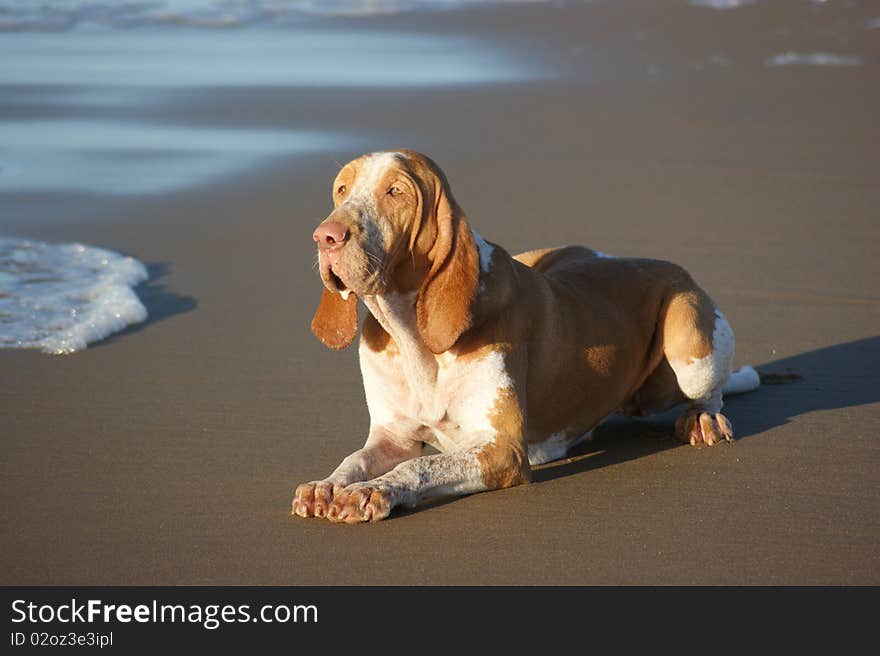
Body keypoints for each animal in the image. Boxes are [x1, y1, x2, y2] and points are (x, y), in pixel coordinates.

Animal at [292, 150, 760, 524]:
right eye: (341, 190)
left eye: (396, 191)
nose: (325, 236)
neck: (411, 334)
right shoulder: (392, 438)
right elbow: (355, 459)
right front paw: (329, 485)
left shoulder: (503, 450)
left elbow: (419, 467)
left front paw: (372, 490)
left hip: (689, 350)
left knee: (710, 390)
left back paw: (702, 418)